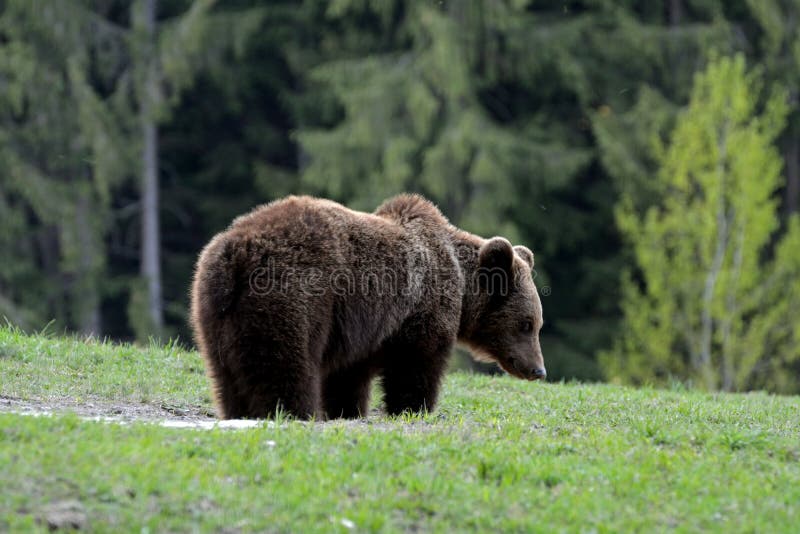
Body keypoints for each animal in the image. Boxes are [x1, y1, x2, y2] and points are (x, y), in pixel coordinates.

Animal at [191, 195, 548, 420]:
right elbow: (415, 367)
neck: (461, 285)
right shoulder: (419, 313)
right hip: (293, 299)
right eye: (527, 323)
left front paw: (347, 410)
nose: (538, 370)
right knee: (285, 367)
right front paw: (413, 408)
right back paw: (291, 412)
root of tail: (237, 252)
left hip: (215, 311)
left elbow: (347, 379)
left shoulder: (360, 332)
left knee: (229, 376)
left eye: (536, 324)